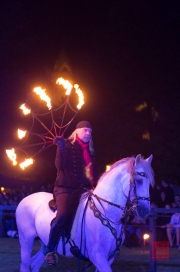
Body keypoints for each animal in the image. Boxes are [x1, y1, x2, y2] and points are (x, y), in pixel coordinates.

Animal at [15, 154, 153, 270]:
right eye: (139, 180)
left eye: (149, 183)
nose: (145, 210)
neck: (106, 213)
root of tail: (25, 199)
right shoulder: (98, 257)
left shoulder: (108, 259)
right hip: (26, 239)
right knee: (25, 265)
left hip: (44, 243)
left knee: (34, 264)